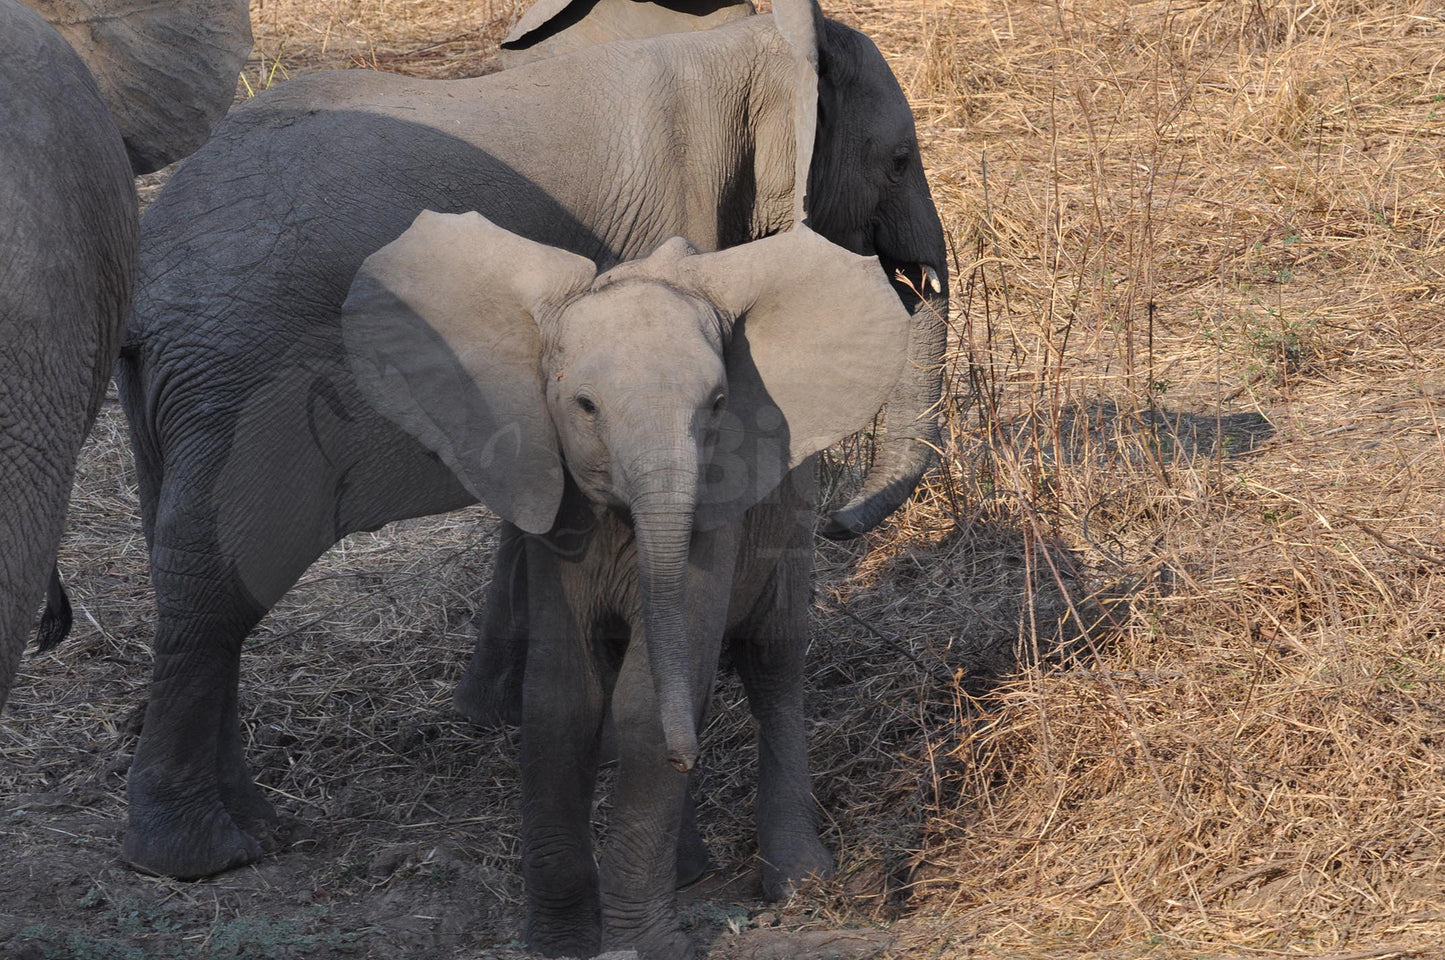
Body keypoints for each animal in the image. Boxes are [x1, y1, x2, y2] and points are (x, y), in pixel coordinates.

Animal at [115, 0, 947, 879]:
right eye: (897, 160)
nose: (842, 522)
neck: (742, 49)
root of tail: (148, 281)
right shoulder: (663, 239)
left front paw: (501, 713)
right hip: (236, 383)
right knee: (215, 590)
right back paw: (197, 856)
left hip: (178, 398)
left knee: (194, 573)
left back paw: (255, 829)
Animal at [341, 212, 901, 960]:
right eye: (583, 406)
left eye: (718, 404)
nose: (686, 758)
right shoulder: (556, 508)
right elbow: (560, 698)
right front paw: (560, 943)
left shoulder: (716, 511)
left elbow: (644, 697)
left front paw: (646, 945)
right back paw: (690, 867)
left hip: (791, 512)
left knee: (771, 660)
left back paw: (798, 881)